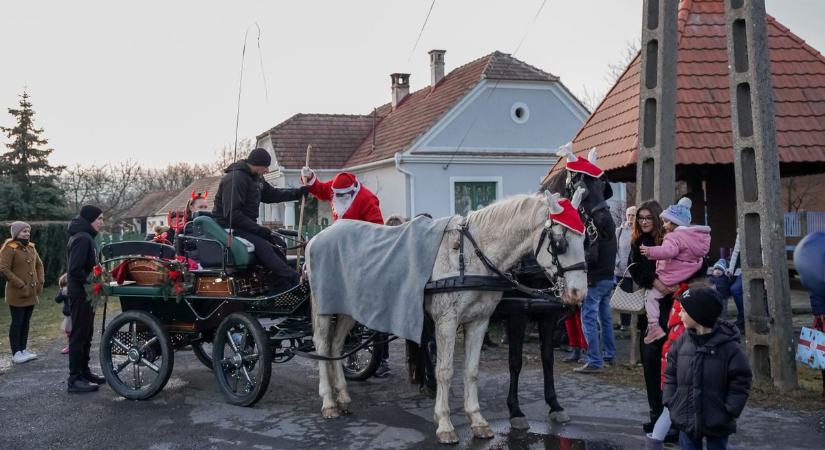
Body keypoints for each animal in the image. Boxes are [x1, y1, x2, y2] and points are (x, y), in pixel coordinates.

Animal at [308, 188, 584, 444]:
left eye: (585, 239)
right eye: (560, 243)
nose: (578, 293)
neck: (471, 255)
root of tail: (316, 238)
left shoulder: (479, 321)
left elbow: (471, 370)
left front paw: (478, 420)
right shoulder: (448, 321)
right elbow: (445, 370)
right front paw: (444, 424)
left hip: (348, 309)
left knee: (336, 346)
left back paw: (343, 397)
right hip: (324, 308)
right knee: (322, 345)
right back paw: (329, 402)